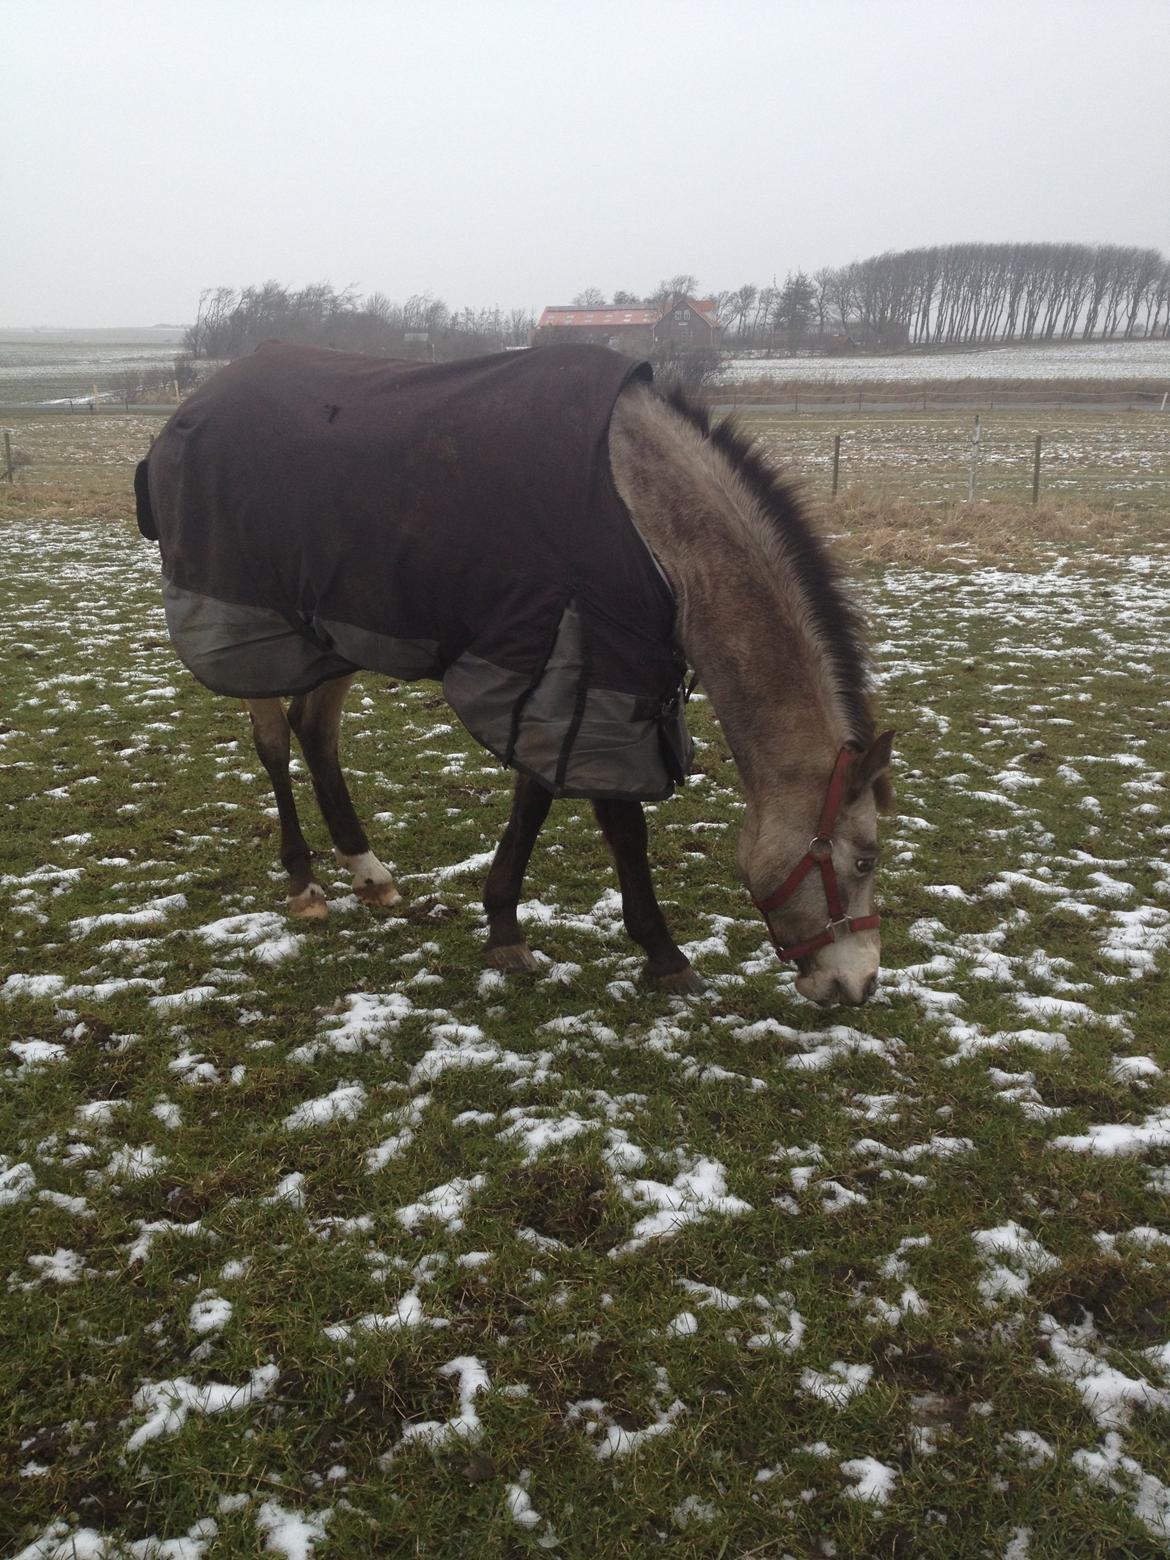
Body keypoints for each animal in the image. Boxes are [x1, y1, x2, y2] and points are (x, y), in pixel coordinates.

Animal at [134, 338, 886, 1010]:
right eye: (867, 859)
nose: (858, 986)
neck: (643, 520)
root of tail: (186, 413)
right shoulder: (591, 673)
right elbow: (622, 825)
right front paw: (663, 954)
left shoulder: (557, 672)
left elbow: (534, 801)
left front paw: (502, 929)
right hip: (252, 623)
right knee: (272, 742)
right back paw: (304, 884)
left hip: (331, 630)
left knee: (315, 734)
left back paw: (368, 873)